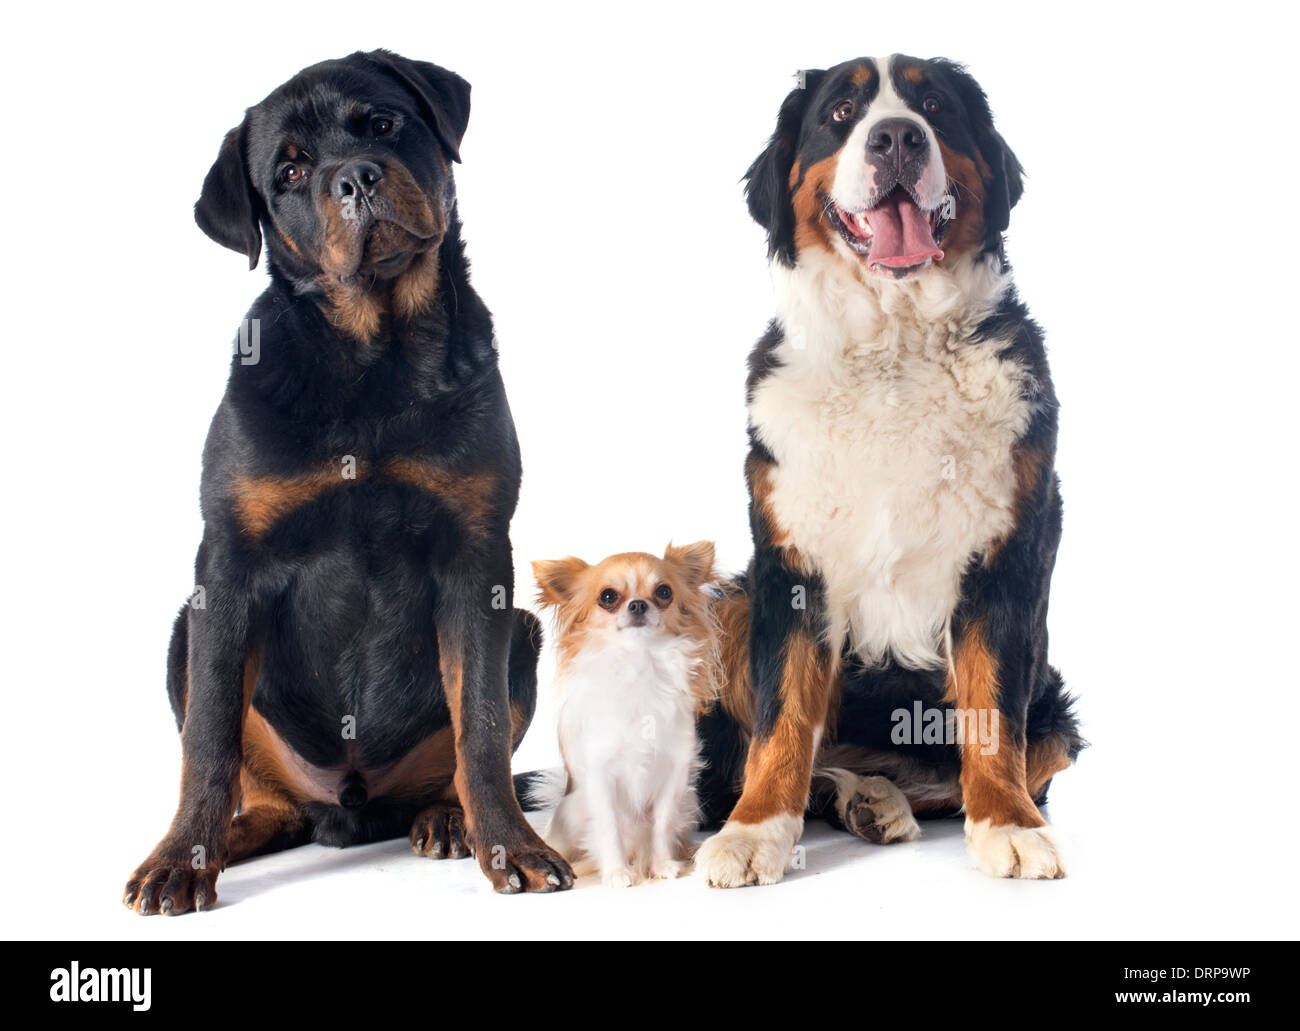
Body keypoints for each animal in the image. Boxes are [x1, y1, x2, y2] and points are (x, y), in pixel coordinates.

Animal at [124, 52, 572, 915]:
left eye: (382, 124)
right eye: (291, 170)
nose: (356, 177)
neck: (373, 355)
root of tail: (349, 811)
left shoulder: (476, 557)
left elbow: (482, 723)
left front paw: (510, 844)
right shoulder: (228, 565)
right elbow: (207, 736)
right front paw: (180, 858)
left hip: (525, 633)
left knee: (460, 758)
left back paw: (449, 819)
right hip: (184, 634)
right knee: (258, 787)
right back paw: (227, 837)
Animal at [530, 538, 722, 884]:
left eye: (664, 592)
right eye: (608, 597)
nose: (638, 604)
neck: (639, 665)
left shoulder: (672, 775)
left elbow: (661, 824)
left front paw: (661, 866)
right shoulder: (600, 776)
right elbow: (608, 827)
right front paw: (617, 873)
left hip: (688, 803)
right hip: (569, 813)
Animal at [696, 52, 1081, 878]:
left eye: (934, 106)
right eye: (841, 114)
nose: (897, 138)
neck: (893, 349)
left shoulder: (1005, 559)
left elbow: (991, 717)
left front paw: (1010, 824)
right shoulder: (790, 565)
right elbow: (780, 720)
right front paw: (753, 831)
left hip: (1056, 706)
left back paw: (879, 799)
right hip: (734, 602)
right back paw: (854, 797)